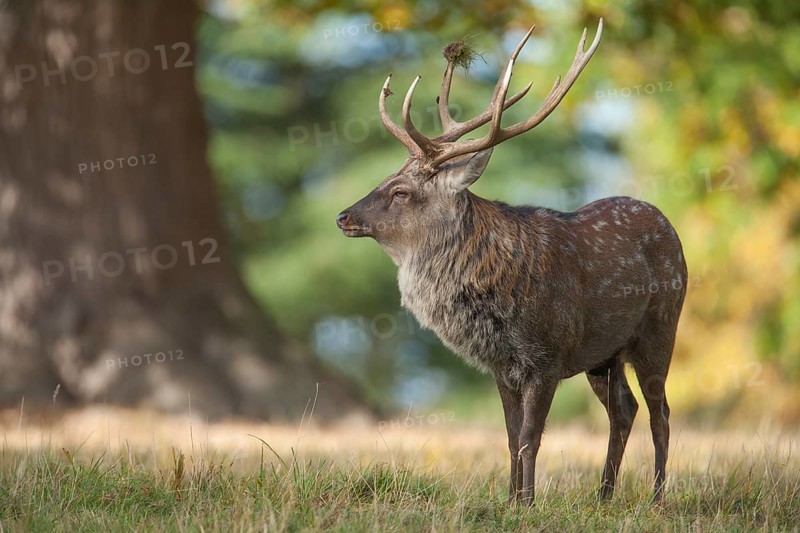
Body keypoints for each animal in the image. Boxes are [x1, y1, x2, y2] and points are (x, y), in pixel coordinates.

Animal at [336, 19, 687, 505]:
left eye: (401, 192)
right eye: (385, 178)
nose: (344, 216)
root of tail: (670, 227)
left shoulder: (548, 356)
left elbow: (529, 437)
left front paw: (529, 504)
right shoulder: (502, 364)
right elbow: (508, 436)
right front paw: (509, 500)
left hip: (660, 328)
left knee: (662, 412)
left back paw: (655, 499)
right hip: (604, 354)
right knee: (624, 410)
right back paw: (603, 497)